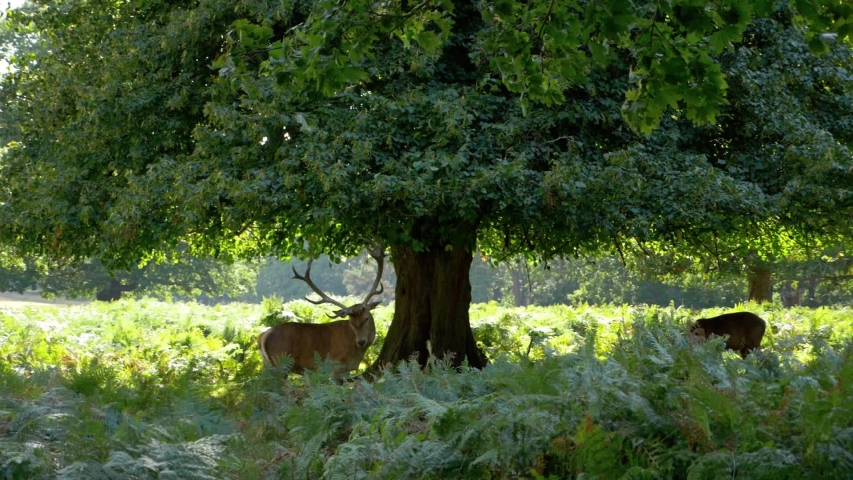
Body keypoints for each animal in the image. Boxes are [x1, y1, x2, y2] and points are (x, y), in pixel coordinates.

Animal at [257, 243, 386, 381]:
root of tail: (262, 336)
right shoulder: (336, 366)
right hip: (281, 363)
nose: (361, 341)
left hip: (269, 365)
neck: (355, 354)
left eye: (366, 318)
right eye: (351, 322)